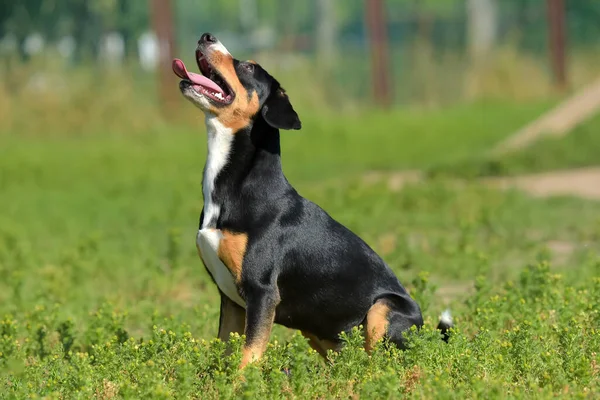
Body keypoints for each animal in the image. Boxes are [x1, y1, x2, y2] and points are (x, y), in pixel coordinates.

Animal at [171, 32, 452, 368]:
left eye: (249, 67)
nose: (206, 36)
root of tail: (425, 334)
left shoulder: (262, 292)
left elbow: (248, 356)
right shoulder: (230, 300)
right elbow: (225, 353)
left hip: (381, 309)